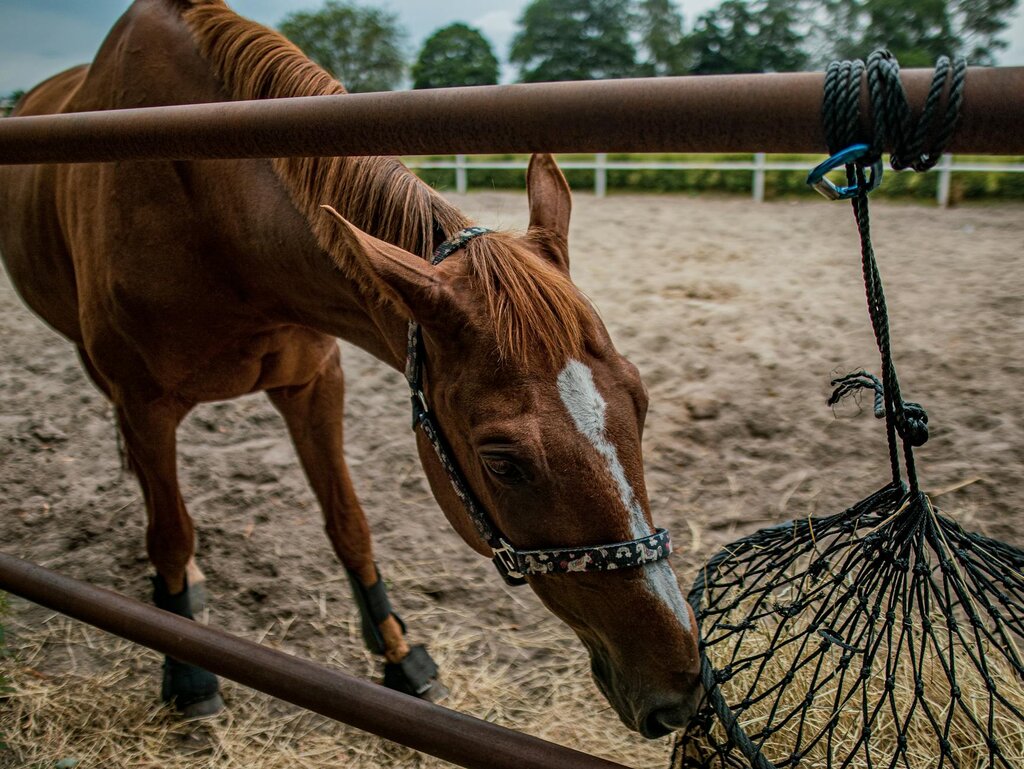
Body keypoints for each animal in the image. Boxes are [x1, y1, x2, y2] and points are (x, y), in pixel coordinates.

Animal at [0, 0, 700, 737]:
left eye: (640, 401)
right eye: (503, 462)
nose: (680, 683)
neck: (209, 213)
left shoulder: (313, 384)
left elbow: (349, 525)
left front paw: (399, 655)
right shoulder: (144, 402)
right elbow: (169, 532)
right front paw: (187, 670)